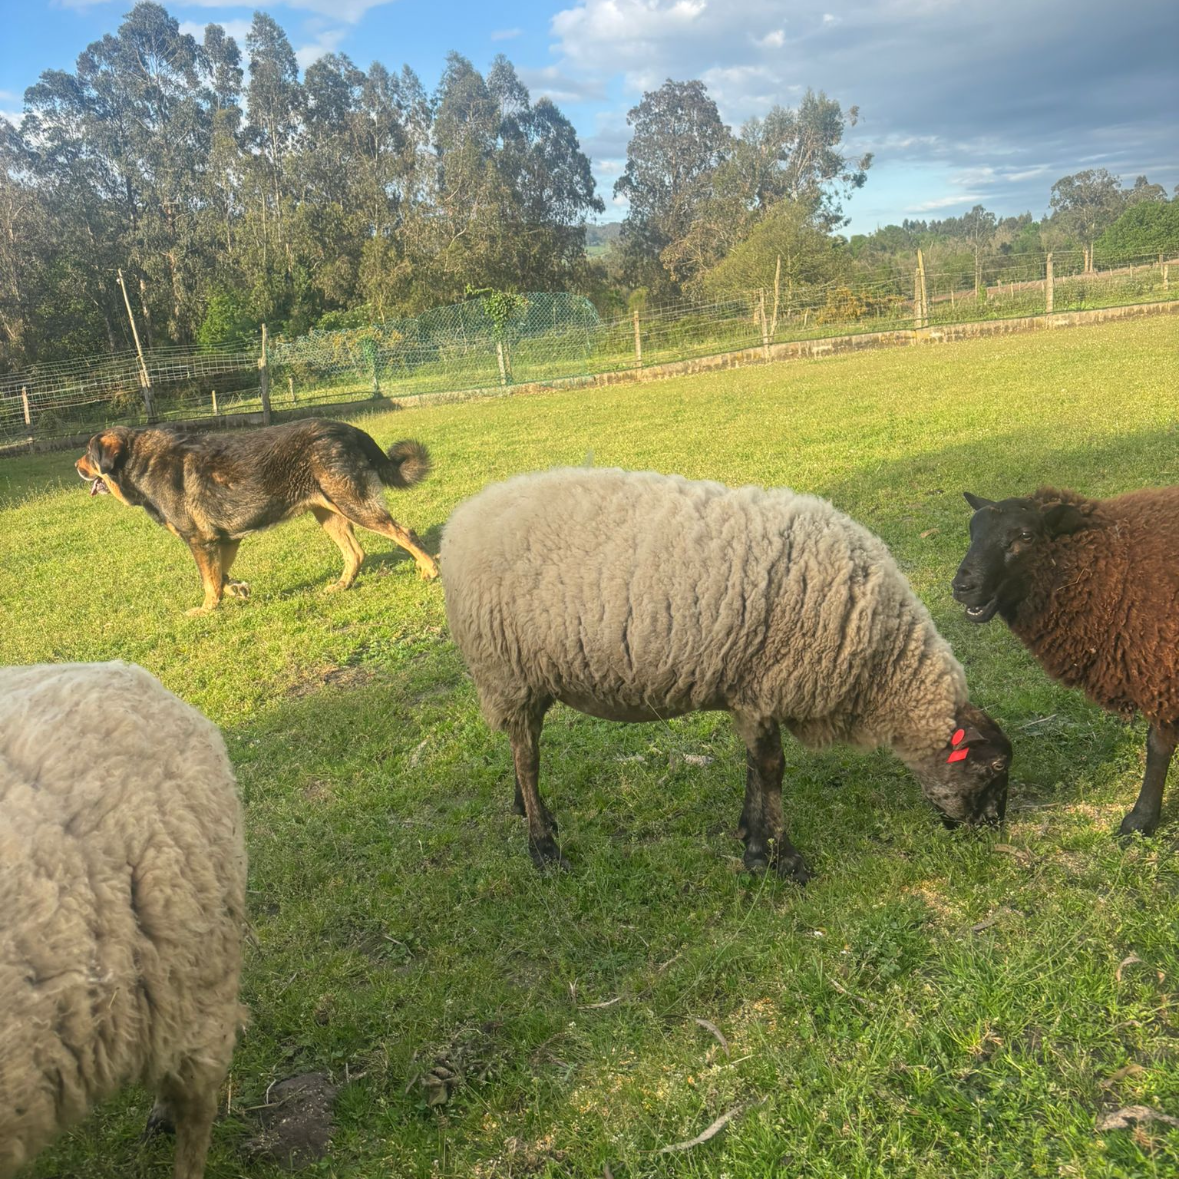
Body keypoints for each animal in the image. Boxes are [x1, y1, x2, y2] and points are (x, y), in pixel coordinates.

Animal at [441, 467, 1012, 880]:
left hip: (527, 679)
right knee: (528, 757)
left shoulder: (751, 689)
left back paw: (528, 811)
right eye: (994, 769)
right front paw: (781, 858)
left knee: (524, 747)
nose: (992, 832)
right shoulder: (765, 687)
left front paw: (752, 839)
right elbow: (773, 768)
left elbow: (756, 766)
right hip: (506, 669)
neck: (880, 662)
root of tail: (463, 518)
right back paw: (543, 847)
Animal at [952, 486, 1179, 836]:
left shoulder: (1162, 670)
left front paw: (1140, 820)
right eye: (972, 531)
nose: (962, 587)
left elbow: (1158, 746)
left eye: (1026, 536)